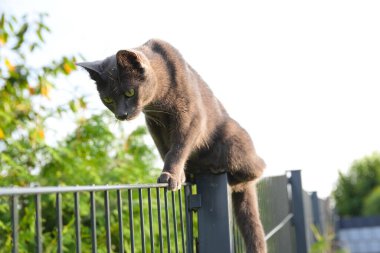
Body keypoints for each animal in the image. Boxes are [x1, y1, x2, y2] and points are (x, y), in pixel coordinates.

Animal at [77, 38, 268, 253]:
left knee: (258, 168)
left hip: (232, 140)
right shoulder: (154, 125)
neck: (158, 103)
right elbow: (164, 150)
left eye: (129, 92)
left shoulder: (190, 116)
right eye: (108, 99)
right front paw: (179, 175)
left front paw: (171, 176)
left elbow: (178, 148)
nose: (121, 115)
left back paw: (218, 169)